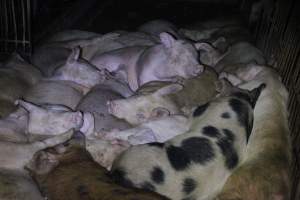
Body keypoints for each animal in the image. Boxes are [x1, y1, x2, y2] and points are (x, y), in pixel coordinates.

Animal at [110, 80, 264, 200]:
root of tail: (118, 172)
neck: (240, 99)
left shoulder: (201, 110)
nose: (111, 104)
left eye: (140, 114)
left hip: (144, 149)